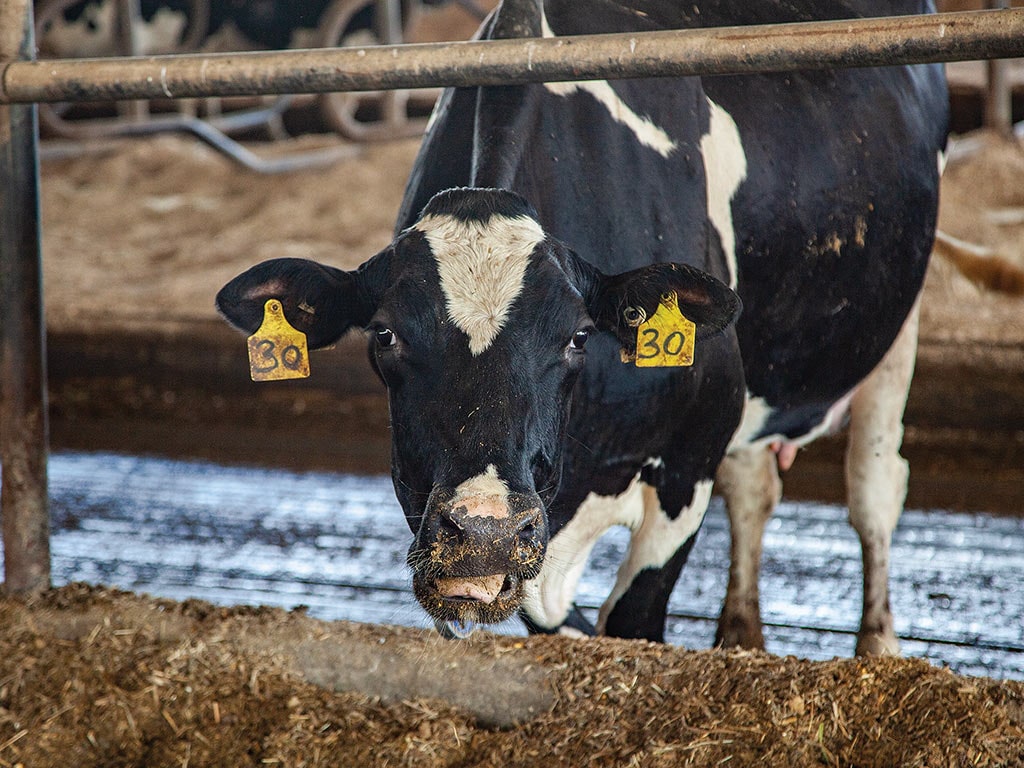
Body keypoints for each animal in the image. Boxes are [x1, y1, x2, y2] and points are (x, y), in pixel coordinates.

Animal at [220, 0, 946, 651]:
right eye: (385, 335)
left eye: (575, 338)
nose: (483, 534)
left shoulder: (692, 454)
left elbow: (630, 621)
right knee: (755, 489)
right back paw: (741, 635)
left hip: (898, 324)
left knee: (875, 492)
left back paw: (877, 644)